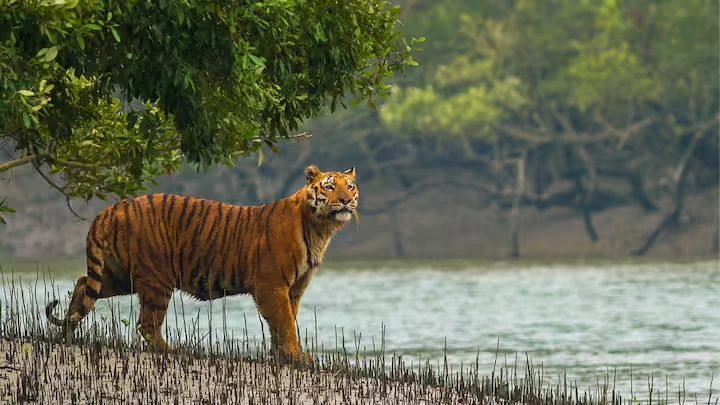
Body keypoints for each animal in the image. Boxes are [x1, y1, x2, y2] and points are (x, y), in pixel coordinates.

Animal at [45, 164, 359, 363]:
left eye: (350, 186)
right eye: (330, 187)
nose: (345, 200)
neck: (320, 228)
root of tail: (112, 208)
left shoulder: (293, 289)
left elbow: (284, 322)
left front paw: (281, 356)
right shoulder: (272, 285)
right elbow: (284, 323)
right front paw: (296, 357)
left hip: (120, 275)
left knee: (83, 284)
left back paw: (67, 334)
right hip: (157, 279)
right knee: (146, 323)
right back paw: (171, 351)